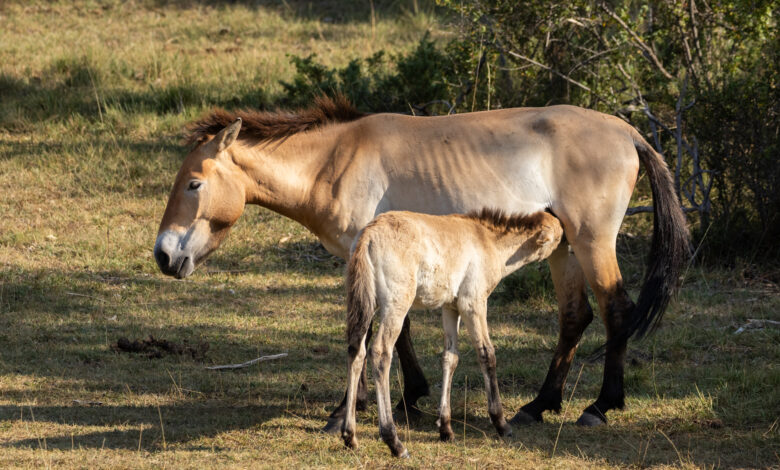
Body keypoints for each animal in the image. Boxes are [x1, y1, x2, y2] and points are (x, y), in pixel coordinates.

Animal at [154, 95, 689, 429]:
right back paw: (538, 406)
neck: (336, 163)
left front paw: (346, 411)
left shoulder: (364, 255)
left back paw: (601, 406)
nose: (163, 255)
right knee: (575, 317)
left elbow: (371, 329)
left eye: (194, 183)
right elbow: (400, 327)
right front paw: (411, 396)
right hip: (563, 248)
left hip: (592, 241)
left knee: (616, 311)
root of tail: (627, 132)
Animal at [342, 209, 564, 456]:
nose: (569, 247)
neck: (488, 241)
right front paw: (501, 424)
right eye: (559, 235)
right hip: (396, 303)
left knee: (356, 351)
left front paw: (445, 428)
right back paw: (394, 442)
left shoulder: (450, 307)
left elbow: (450, 357)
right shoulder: (473, 303)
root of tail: (367, 236)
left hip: (366, 303)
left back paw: (350, 436)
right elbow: (487, 354)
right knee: (380, 353)